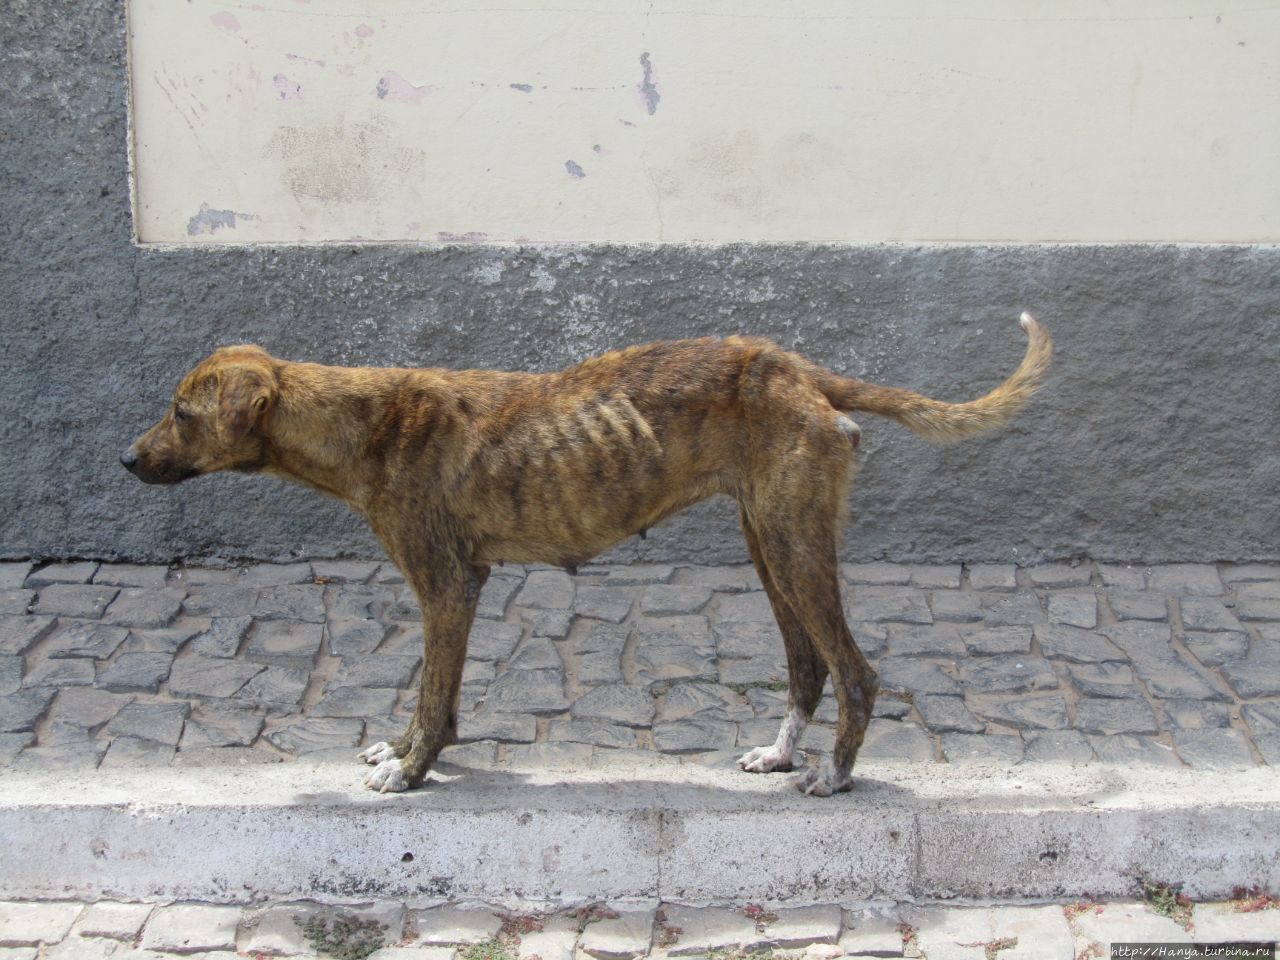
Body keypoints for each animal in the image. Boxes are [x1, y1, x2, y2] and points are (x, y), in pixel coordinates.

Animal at [124, 313, 1054, 798]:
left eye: (180, 412)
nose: (125, 461)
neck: (363, 421)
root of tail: (796, 367)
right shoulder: (452, 587)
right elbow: (426, 698)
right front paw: (399, 751)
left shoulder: (448, 584)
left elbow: (435, 696)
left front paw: (414, 769)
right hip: (769, 541)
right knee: (809, 666)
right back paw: (783, 754)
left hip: (793, 544)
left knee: (856, 671)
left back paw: (834, 776)